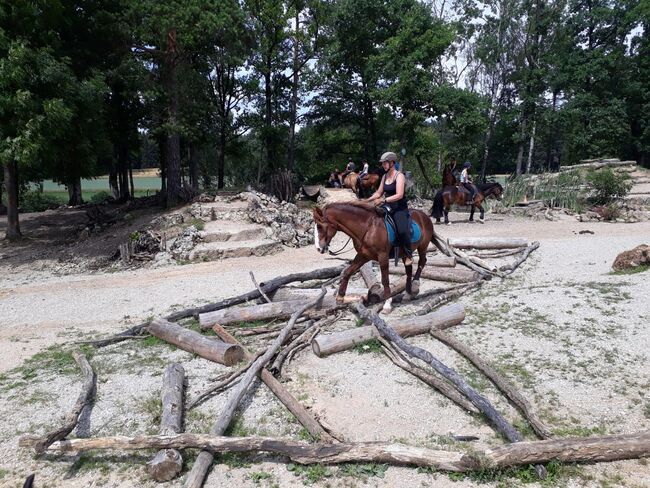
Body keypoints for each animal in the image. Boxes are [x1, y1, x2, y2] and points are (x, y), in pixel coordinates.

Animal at [312, 202, 442, 312]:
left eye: (319, 227)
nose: (318, 248)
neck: (368, 228)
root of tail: (423, 215)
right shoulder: (363, 255)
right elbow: (348, 272)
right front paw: (340, 297)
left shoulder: (382, 256)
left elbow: (385, 279)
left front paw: (387, 303)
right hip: (405, 253)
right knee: (409, 269)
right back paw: (407, 294)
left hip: (423, 246)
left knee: (422, 261)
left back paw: (415, 284)